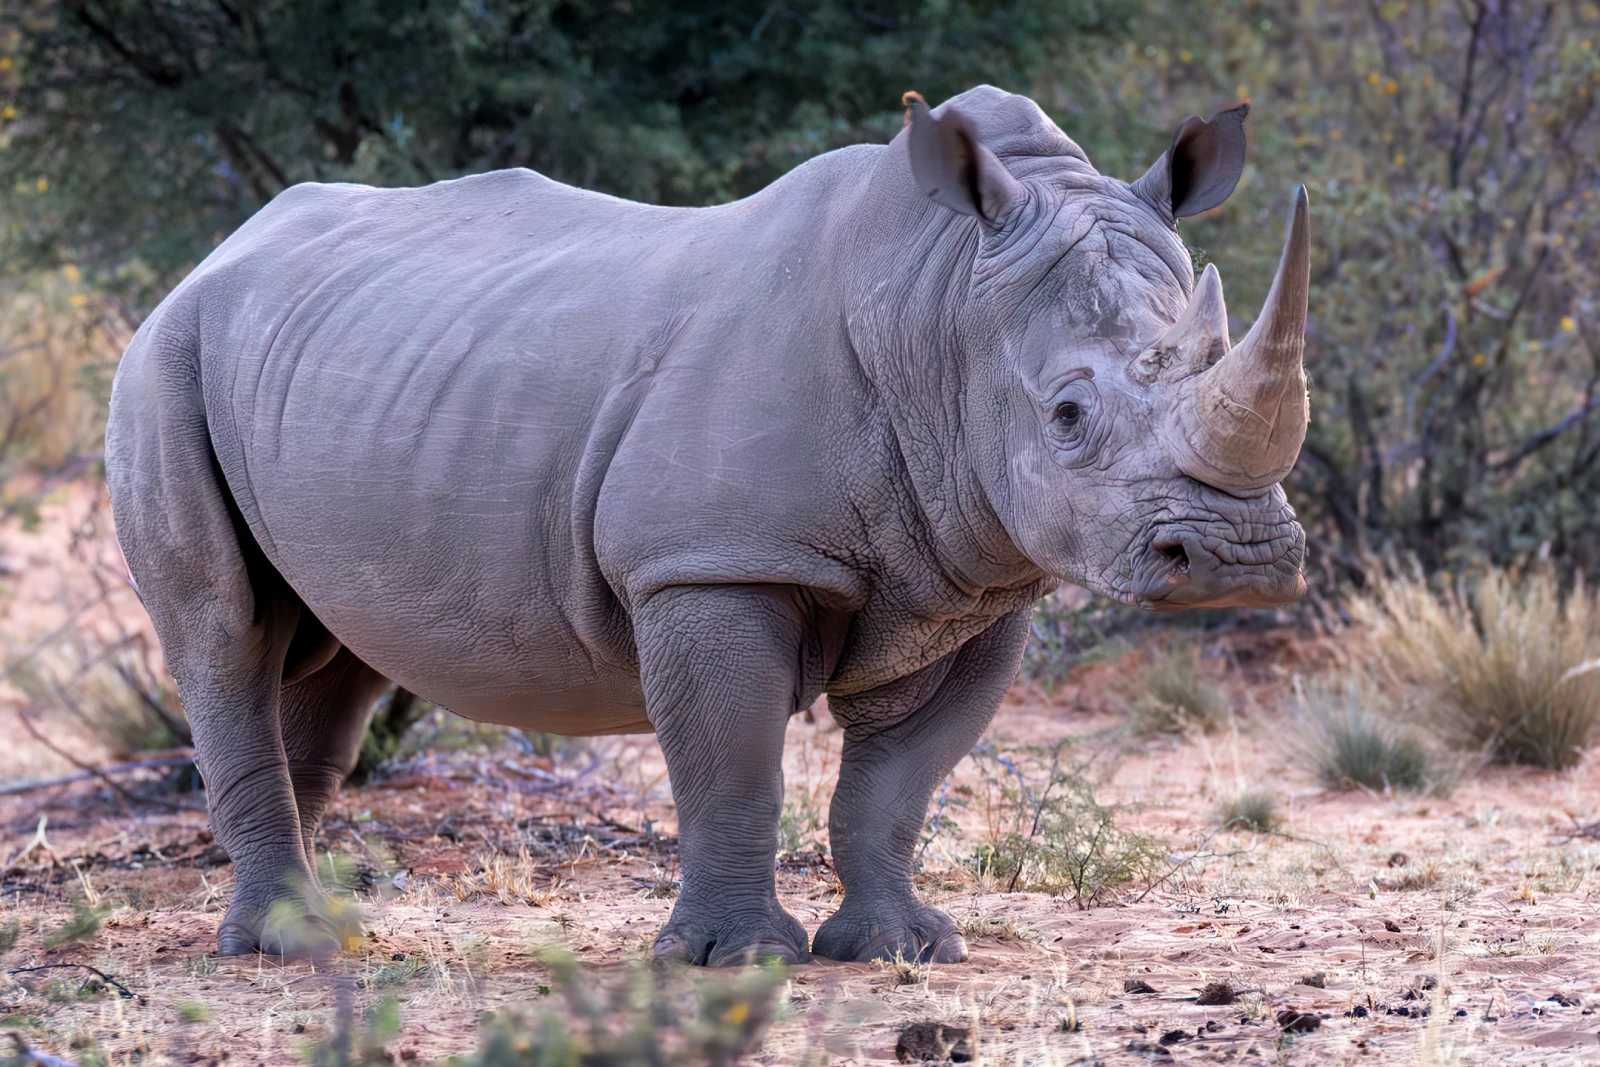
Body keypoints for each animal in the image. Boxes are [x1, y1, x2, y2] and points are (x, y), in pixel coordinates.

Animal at [105, 86, 1309, 966]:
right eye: (1066, 414)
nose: (1237, 558)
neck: (940, 308)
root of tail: (216, 253)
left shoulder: (977, 578)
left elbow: (897, 783)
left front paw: (903, 951)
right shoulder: (710, 563)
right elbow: (734, 762)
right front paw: (737, 959)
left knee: (331, 653)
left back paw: (312, 931)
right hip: (162, 354)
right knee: (223, 632)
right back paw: (275, 946)